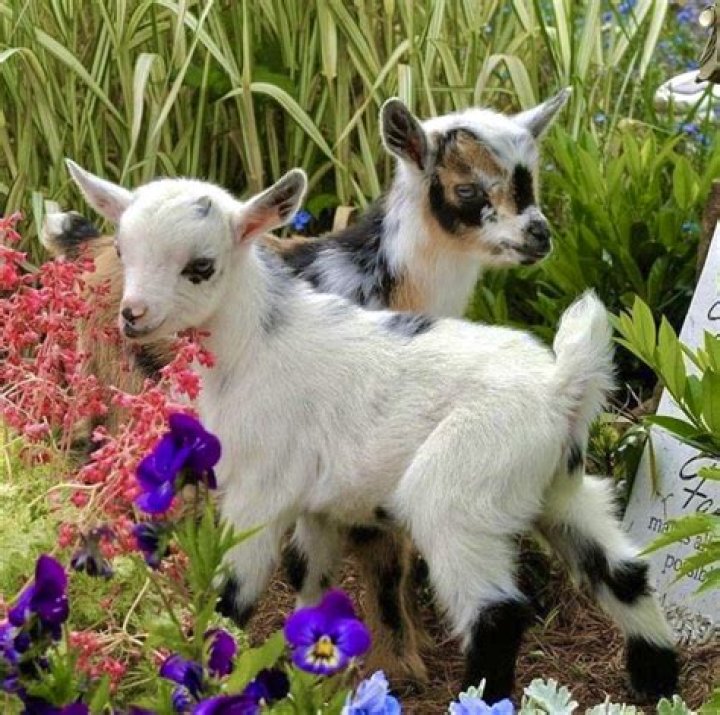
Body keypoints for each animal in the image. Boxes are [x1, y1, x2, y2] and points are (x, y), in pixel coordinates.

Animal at [45, 91, 570, 682]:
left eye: (531, 178)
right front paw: (398, 662)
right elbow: (376, 551)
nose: (538, 236)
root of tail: (88, 245)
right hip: (121, 392)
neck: (381, 279)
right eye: (467, 188)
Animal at [66, 161, 679, 703]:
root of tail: (561, 386)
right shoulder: (319, 503)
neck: (253, 342)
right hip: (558, 487)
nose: (132, 315)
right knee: (622, 570)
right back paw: (657, 682)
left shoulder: (262, 487)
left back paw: (483, 697)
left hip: (461, 490)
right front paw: (309, 675)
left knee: (498, 614)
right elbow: (309, 578)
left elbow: (234, 588)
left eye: (201, 265)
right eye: (124, 252)